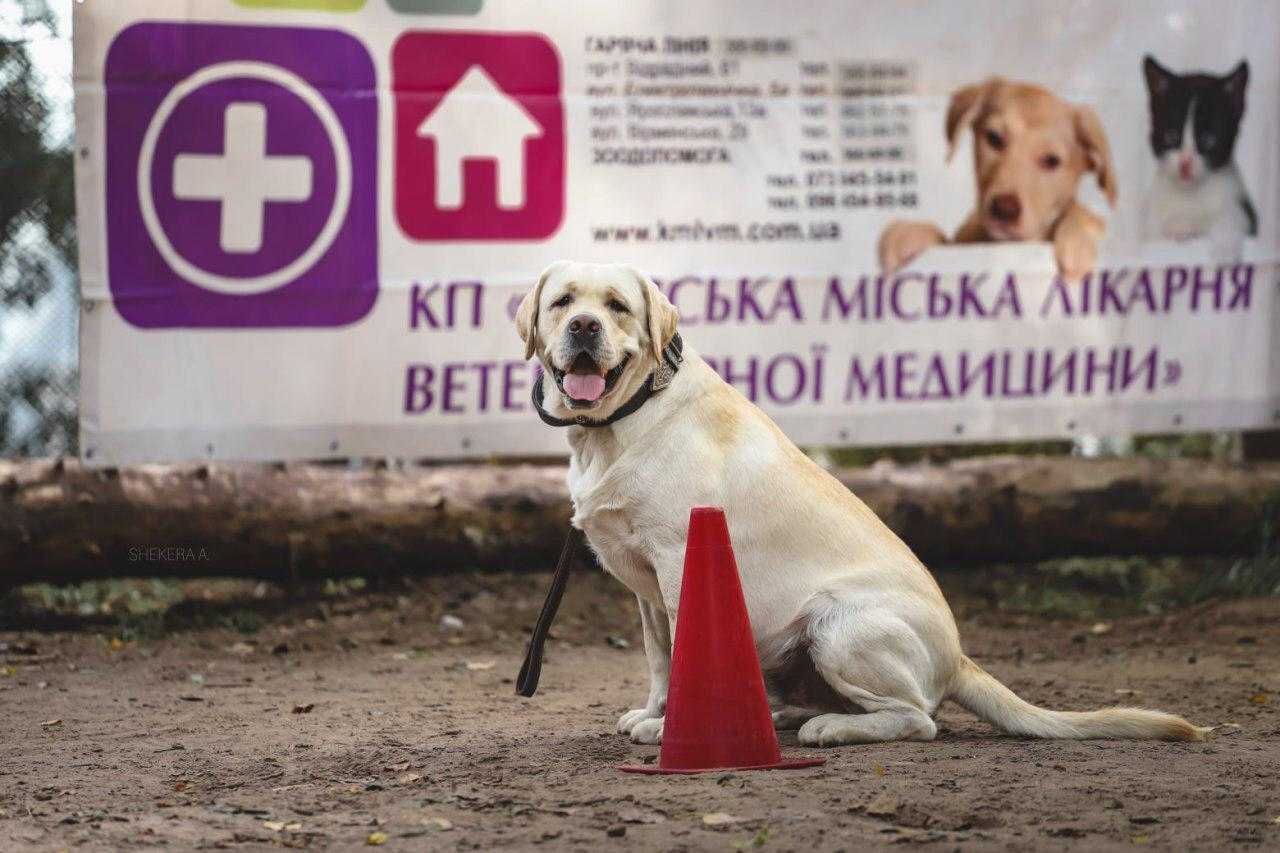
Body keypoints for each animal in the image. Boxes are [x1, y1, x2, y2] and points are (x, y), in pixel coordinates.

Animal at [514, 258, 1203, 742]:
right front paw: (654, 714)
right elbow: (661, 660)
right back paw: (785, 717)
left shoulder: (682, 563)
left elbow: (685, 654)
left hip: (838, 625)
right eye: (563, 301)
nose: (584, 327)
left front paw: (673, 727)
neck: (618, 422)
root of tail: (959, 659)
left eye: (617, 306)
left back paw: (831, 728)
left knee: (919, 719)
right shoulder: (646, 589)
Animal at [880, 77, 1121, 279]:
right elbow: (946, 241)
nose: (1004, 209)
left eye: (1052, 160)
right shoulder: (962, 242)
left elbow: (1080, 212)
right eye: (994, 138)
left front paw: (1077, 244)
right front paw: (910, 235)